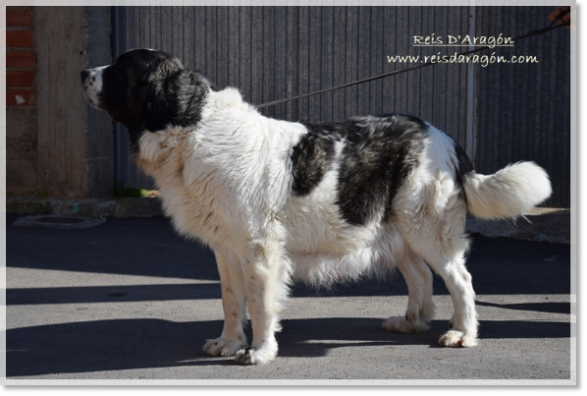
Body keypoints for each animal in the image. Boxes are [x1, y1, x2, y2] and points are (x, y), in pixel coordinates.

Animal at [81, 49, 552, 366]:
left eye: (121, 68)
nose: (84, 71)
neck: (192, 127)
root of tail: (446, 137)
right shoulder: (226, 248)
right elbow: (231, 300)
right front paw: (228, 343)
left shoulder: (259, 249)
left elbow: (260, 303)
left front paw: (259, 351)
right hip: (396, 229)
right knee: (420, 276)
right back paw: (411, 322)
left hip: (426, 228)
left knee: (461, 281)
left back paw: (462, 334)